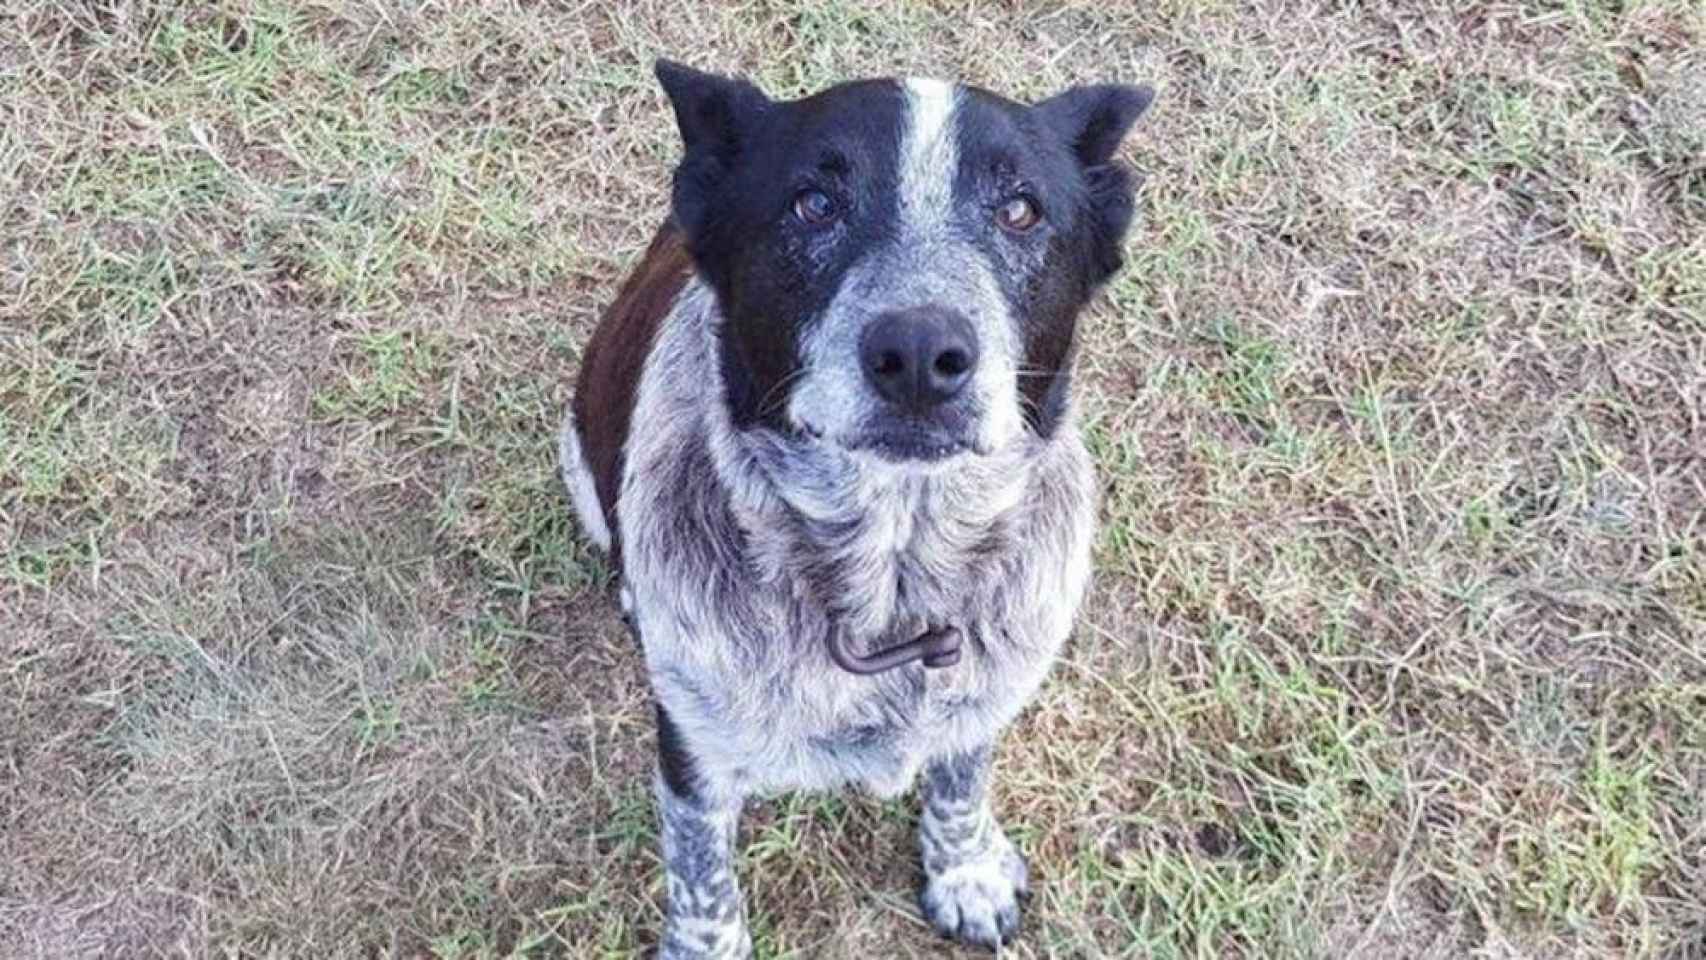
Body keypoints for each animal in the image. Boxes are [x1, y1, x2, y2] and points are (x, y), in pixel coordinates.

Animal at [566, 61, 1153, 960]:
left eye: (1020, 209)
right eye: (814, 203)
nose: (919, 352)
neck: (890, 584)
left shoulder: (982, 695)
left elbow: (960, 778)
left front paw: (965, 870)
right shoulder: (694, 748)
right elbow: (701, 873)